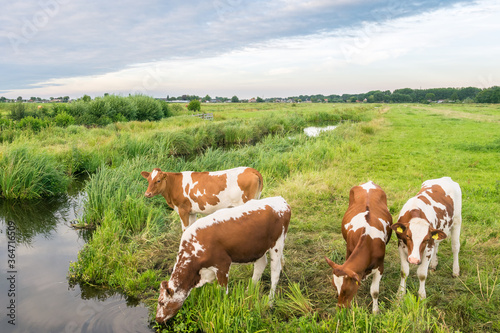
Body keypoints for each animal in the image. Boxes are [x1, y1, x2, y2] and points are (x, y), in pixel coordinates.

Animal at [154, 195, 292, 322]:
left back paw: (270, 302)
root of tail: (280, 200)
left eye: (162, 302)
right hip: (258, 247)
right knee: (260, 265)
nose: (157, 319)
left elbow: (222, 291)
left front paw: (223, 307)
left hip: (277, 245)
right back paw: (248, 291)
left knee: (275, 273)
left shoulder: (222, 264)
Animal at [324, 180, 394, 312]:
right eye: (335, 287)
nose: (341, 308)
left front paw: (375, 311)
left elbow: (375, 292)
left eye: (346, 290)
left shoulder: (380, 267)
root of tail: (369, 182)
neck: (368, 241)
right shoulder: (349, 252)